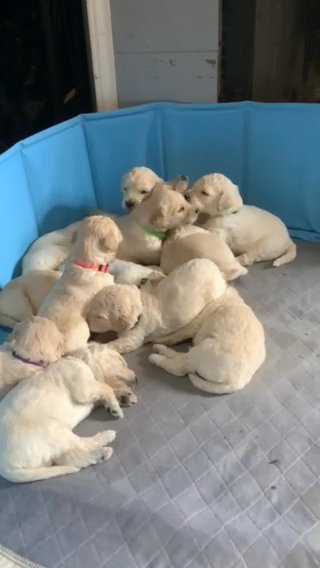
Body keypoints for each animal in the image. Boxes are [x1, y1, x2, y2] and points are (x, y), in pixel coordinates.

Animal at [0, 342, 138, 484]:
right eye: (121, 361)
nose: (137, 379)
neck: (80, 360)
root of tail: (6, 469)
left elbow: (107, 390)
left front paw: (124, 397)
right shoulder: (83, 389)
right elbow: (107, 387)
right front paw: (115, 407)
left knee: (72, 457)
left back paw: (100, 454)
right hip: (53, 429)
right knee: (81, 444)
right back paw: (105, 441)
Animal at [90, 260, 228, 352]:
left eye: (99, 317)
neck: (142, 306)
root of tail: (217, 270)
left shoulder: (135, 336)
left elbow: (119, 345)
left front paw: (96, 346)